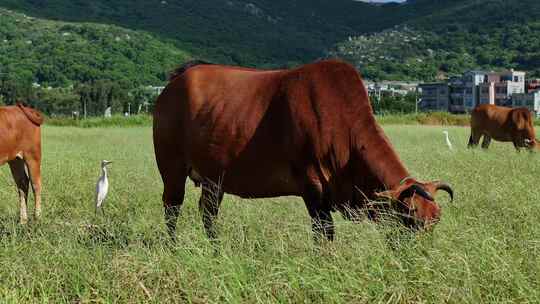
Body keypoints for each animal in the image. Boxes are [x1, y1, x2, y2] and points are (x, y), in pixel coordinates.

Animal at [154, 60, 454, 242]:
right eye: (411, 219)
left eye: (436, 220)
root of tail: (176, 81)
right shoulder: (312, 188)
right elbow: (325, 234)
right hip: (171, 168)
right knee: (172, 207)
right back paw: (173, 246)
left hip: (213, 179)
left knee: (208, 212)